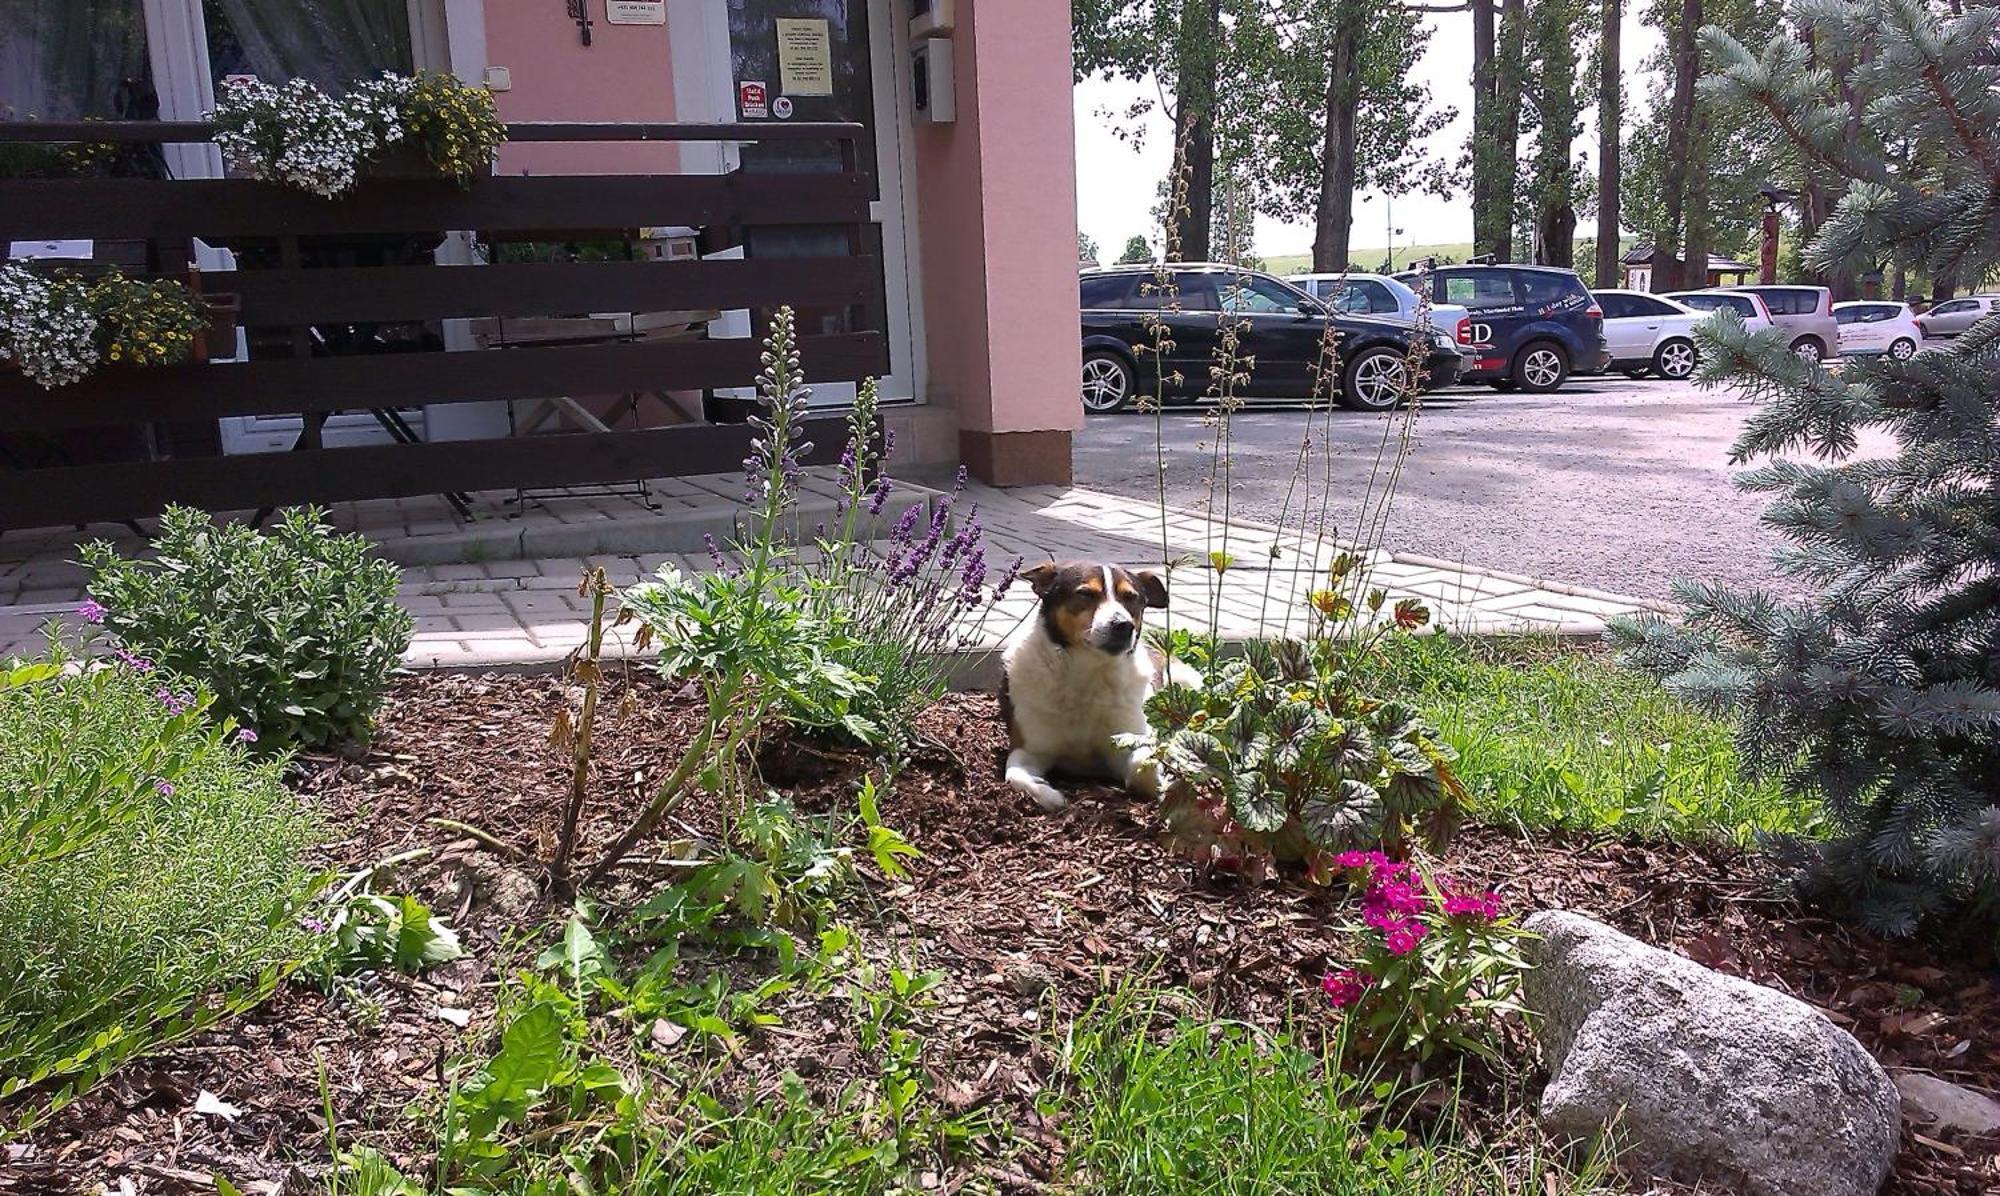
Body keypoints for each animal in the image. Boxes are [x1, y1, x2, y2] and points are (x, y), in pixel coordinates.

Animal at [1000, 564, 1184, 816]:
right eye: (1085, 594)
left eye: (1131, 597)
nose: (1123, 626)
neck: (1089, 675)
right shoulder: (1029, 748)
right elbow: (1014, 774)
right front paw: (1049, 796)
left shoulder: (1126, 741)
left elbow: (1141, 765)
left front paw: (1163, 784)